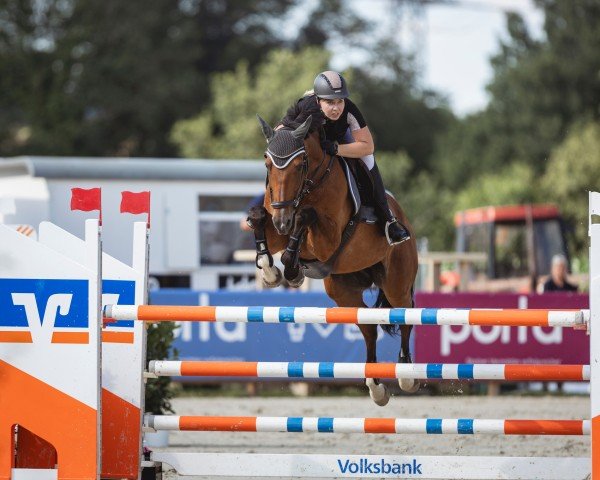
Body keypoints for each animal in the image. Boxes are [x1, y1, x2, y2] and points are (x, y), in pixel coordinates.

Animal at [247, 115, 418, 404]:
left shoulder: (327, 240)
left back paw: (406, 375)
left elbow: (305, 216)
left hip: (396, 283)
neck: (311, 184)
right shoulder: (277, 224)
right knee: (369, 327)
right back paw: (375, 386)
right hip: (343, 291)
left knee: (405, 312)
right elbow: (259, 215)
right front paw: (271, 271)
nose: (282, 222)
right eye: (267, 163)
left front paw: (292, 269)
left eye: (300, 165)